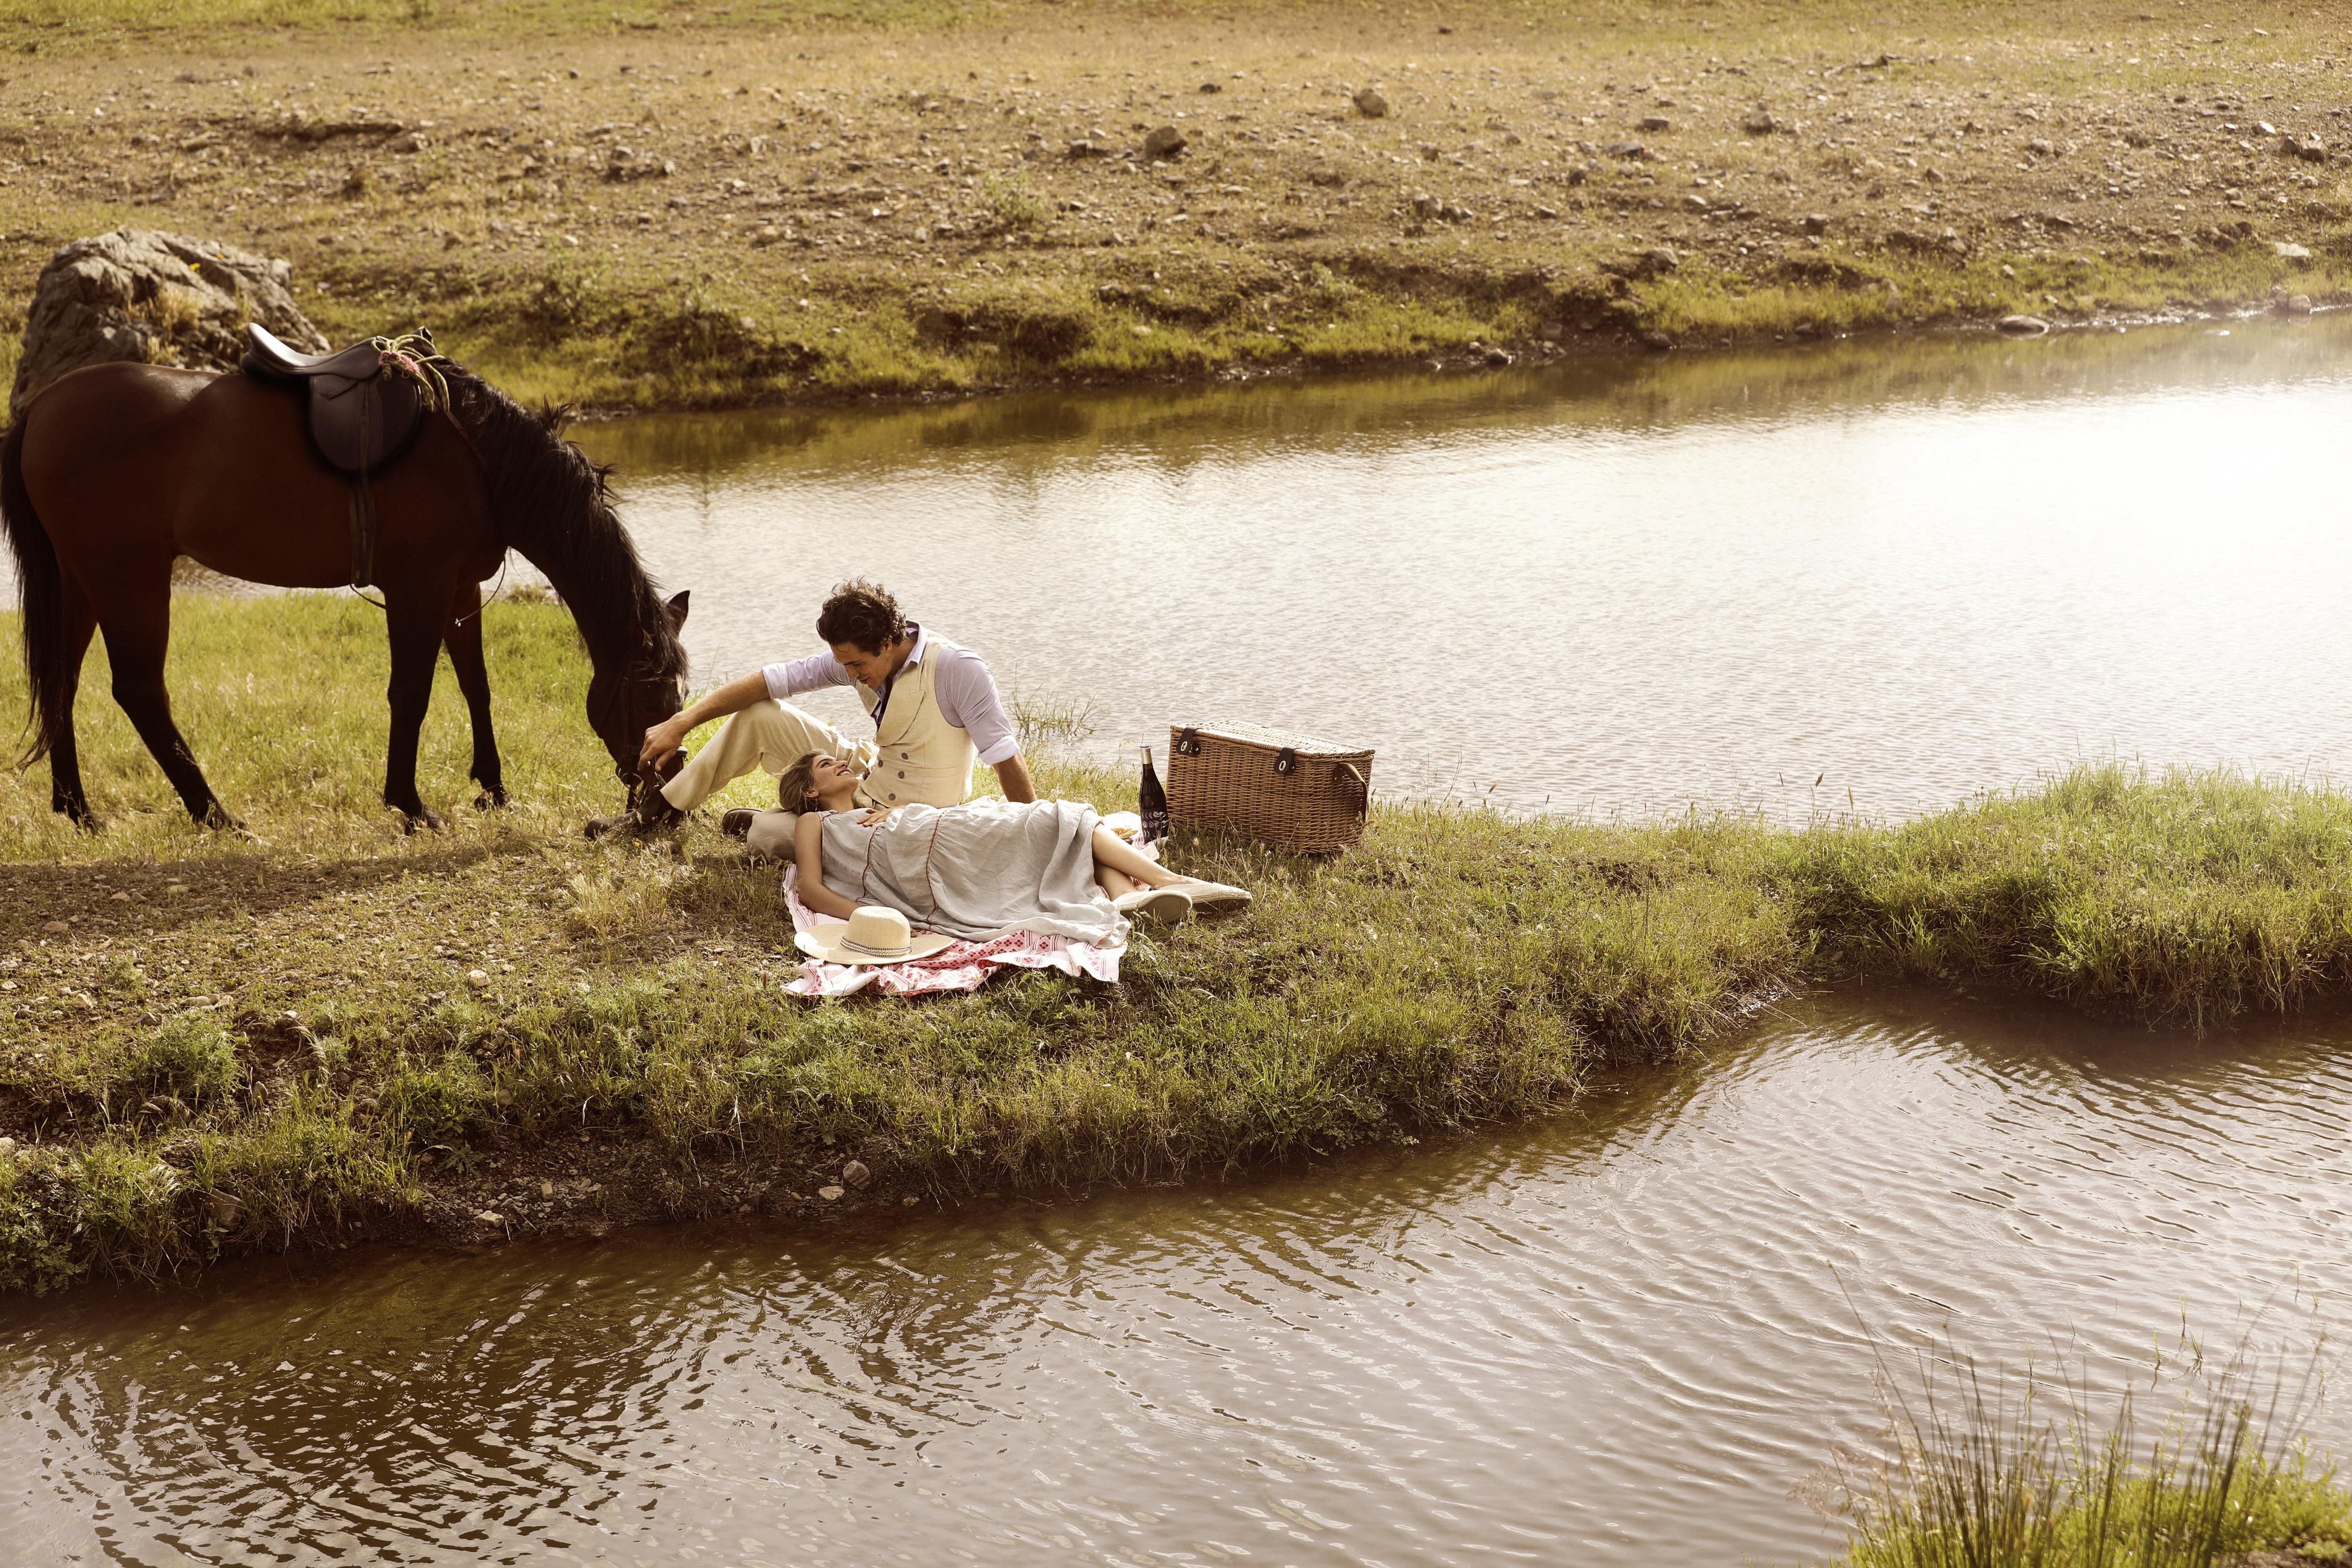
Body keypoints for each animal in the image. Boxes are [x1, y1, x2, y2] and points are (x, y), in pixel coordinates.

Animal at [2, 348, 687, 827]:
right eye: (651, 698)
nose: (667, 801)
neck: (480, 457)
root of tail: (41, 408)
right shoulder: (419, 587)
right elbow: (412, 694)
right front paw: (409, 805)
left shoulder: (459, 591)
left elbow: (477, 689)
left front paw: (493, 789)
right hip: (129, 579)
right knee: (140, 692)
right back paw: (213, 814)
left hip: (81, 580)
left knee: (62, 682)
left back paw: (77, 808)